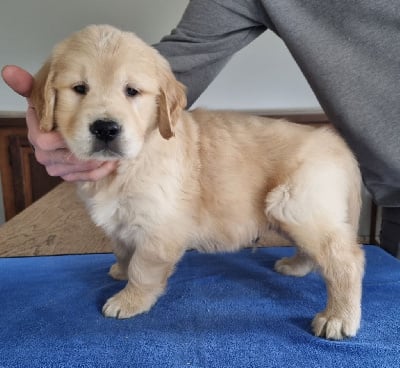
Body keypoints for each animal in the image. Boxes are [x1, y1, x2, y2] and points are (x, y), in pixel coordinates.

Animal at [30, 25, 366, 340]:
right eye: (79, 88)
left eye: (132, 91)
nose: (105, 129)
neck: (131, 162)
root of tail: (335, 143)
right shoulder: (121, 221)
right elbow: (124, 251)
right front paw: (120, 271)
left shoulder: (159, 226)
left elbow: (142, 268)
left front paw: (129, 300)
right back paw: (296, 266)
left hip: (294, 204)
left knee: (347, 259)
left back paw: (338, 317)